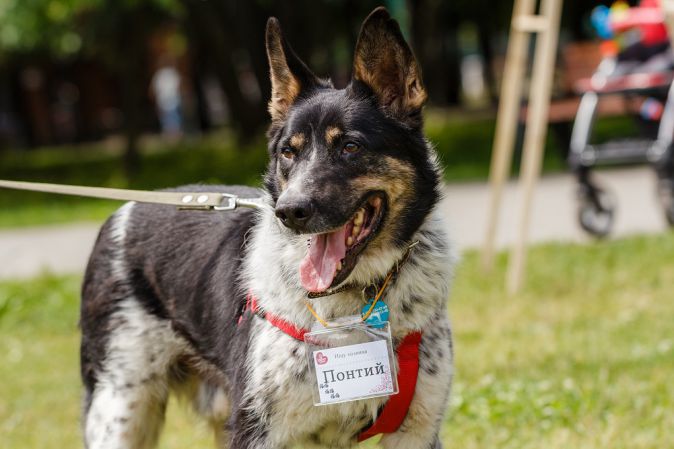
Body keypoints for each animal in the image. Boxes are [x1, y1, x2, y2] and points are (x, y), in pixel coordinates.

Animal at [81, 7, 454, 448]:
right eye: (287, 153)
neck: (353, 308)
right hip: (119, 407)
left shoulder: (417, 430)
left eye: (350, 147)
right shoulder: (257, 431)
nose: (289, 211)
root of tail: (123, 211)